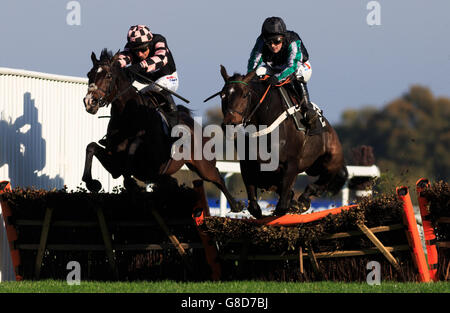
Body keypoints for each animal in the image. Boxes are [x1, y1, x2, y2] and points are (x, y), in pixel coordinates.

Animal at [81, 49, 243, 212]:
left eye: (108, 75)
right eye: (89, 74)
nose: (90, 102)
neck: (128, 117)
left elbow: (133, 148)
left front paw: (130, 183)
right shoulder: (114, 162)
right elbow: (91, 147)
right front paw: (92, 183)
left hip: (204, 166)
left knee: (217, 177)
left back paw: (237, 205)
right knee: (174, 182)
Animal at [218, 65, 348, 218]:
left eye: (244, 94)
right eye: (222, 95)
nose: (229, 124)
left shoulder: (290, 165)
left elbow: (281, 206)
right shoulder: (248, 166)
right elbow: (254, 207)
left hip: (331, 161)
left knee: (322, 182)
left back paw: (303, 201)